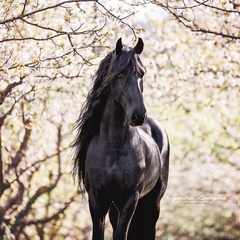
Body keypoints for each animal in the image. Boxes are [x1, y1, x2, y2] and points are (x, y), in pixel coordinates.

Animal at [72, 38, 170, 239]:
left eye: (142, 73)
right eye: (120, 74)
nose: (139, 115)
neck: (114, 146)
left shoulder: (130, 198)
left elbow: (120, 235)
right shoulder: (97, 199)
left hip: (152, 202)